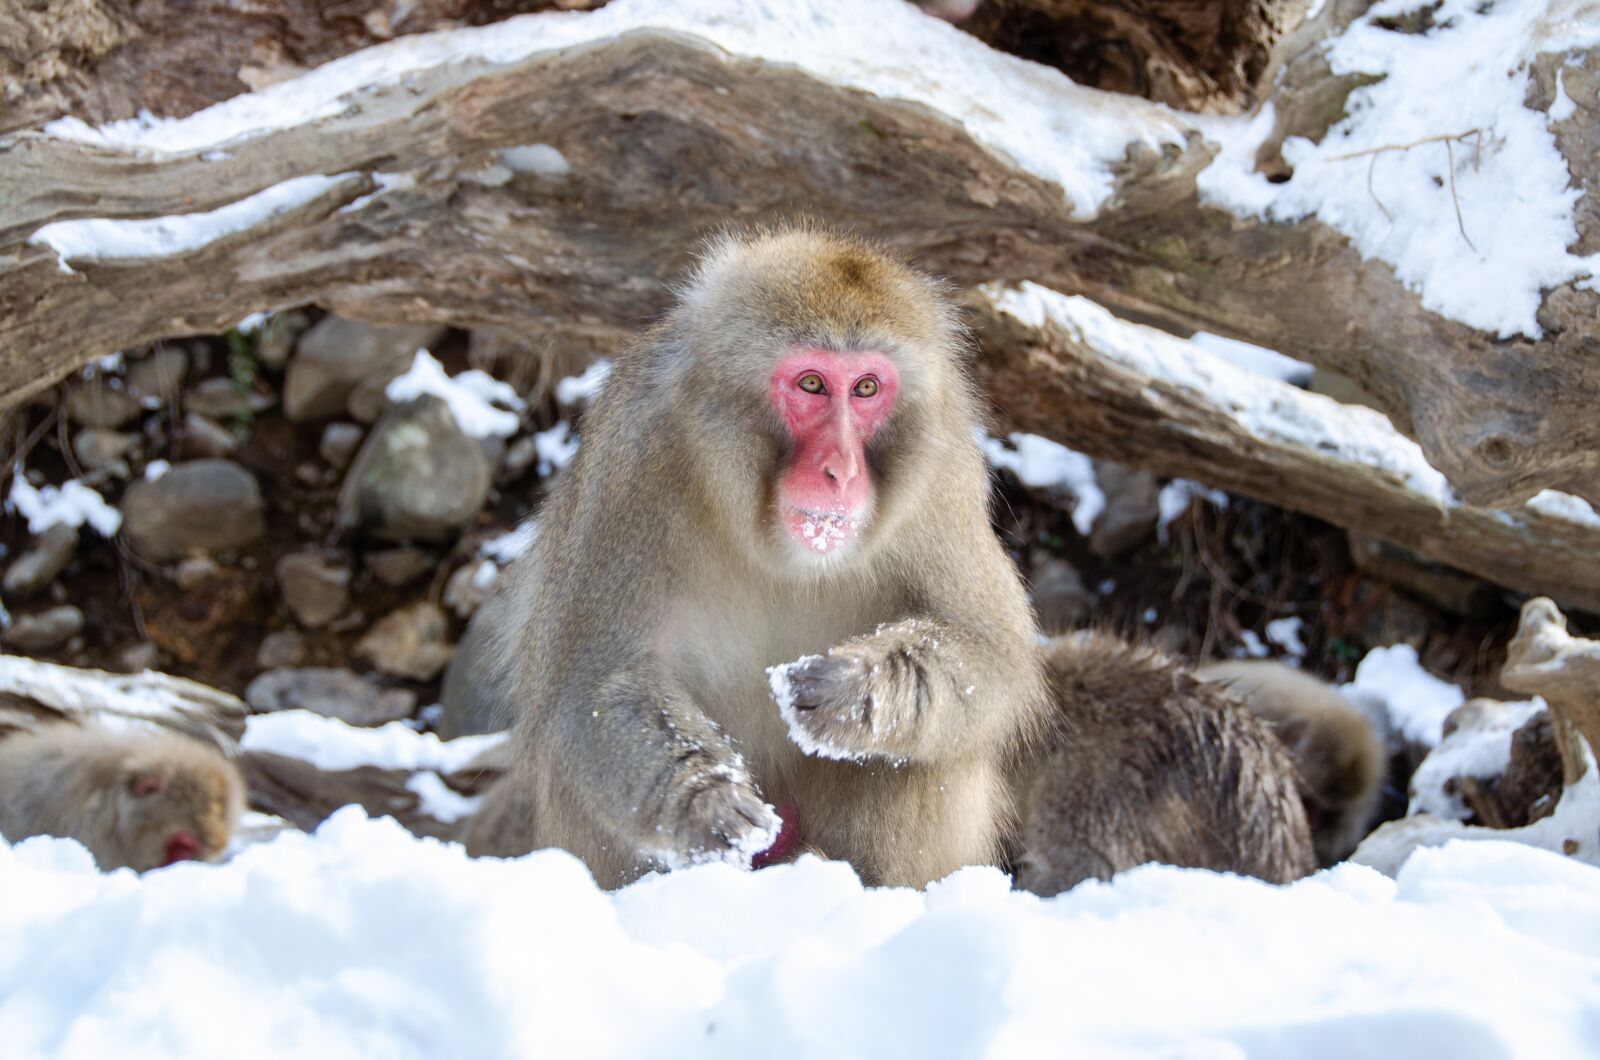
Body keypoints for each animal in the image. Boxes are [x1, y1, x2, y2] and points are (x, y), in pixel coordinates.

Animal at [463, 227, 1050, 888]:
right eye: (812, 384)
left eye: (866, 388)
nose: (841, 469)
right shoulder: (633, 457)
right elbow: (593, 682)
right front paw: (704, 801)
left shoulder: (943, 474)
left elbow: (990, 652)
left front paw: (856, 690)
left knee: (923, 754)